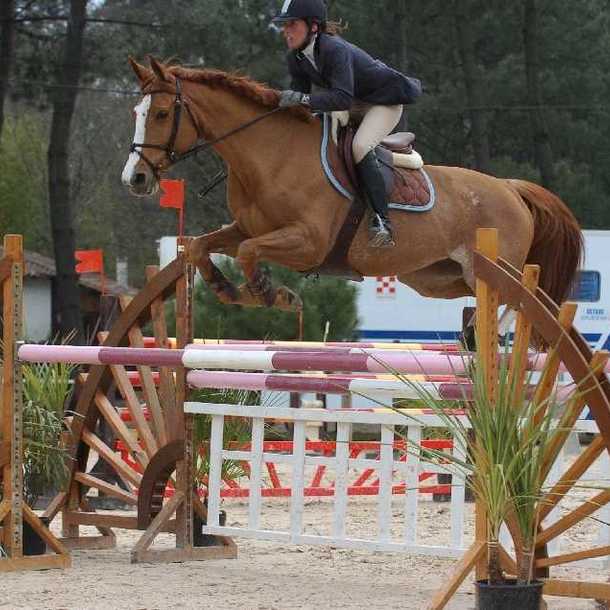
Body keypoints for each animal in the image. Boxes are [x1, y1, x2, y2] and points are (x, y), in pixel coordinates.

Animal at [120, 55, 580, 314]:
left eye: (161, 113)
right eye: (135, 112)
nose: (135, 178)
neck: (269, 154)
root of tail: (510, 188)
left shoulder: (308, 242)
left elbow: (250, 253)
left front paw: (271, 295)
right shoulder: (247, 229)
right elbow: (201, 246)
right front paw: (229, 290)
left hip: (492, 269)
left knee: (522, 307)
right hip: (440, 278)